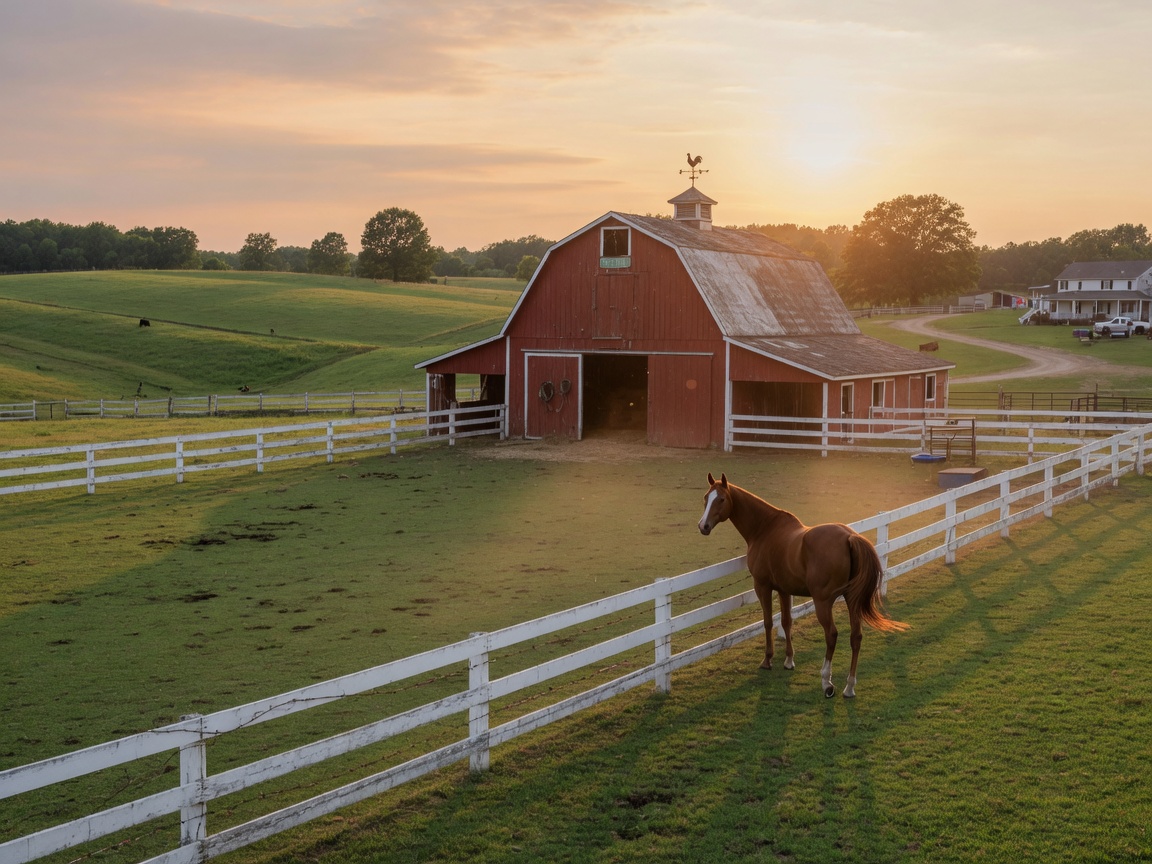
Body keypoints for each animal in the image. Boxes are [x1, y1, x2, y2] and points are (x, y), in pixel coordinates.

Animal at [698, 472, 907, 698]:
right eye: (706, 498)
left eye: (721, 499)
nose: (703, 526)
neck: (764, 529)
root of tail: (850, 537)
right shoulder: (783, 589)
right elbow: (786, 622)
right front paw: (789, 661)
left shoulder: (763, 586)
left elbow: (768, 622)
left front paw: (767, 660)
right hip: (852, 599)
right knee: (856, 636)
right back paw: (849, 687)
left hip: (823, 602)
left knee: (832, 634)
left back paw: (827, 682)